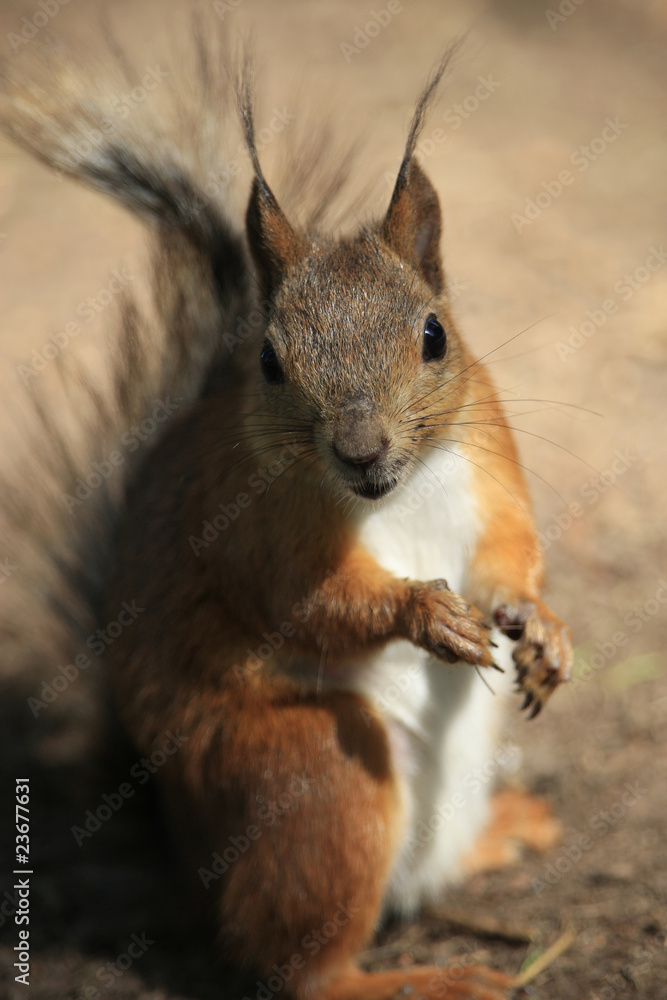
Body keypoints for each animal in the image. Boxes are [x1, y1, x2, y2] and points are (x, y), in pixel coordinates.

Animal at [0, 26, 572, 1000]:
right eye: (269, 360)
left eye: (434, 335)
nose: (360, 449)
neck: (398, 492)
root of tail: (184, 841)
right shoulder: (252, 527)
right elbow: (307, 603)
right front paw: (426, 612)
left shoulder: (489, 461)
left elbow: (508, 552)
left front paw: (542, 630)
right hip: (315, 773)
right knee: (300, 968)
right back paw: (422, 979)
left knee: (426, 875)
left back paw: (507, 830)